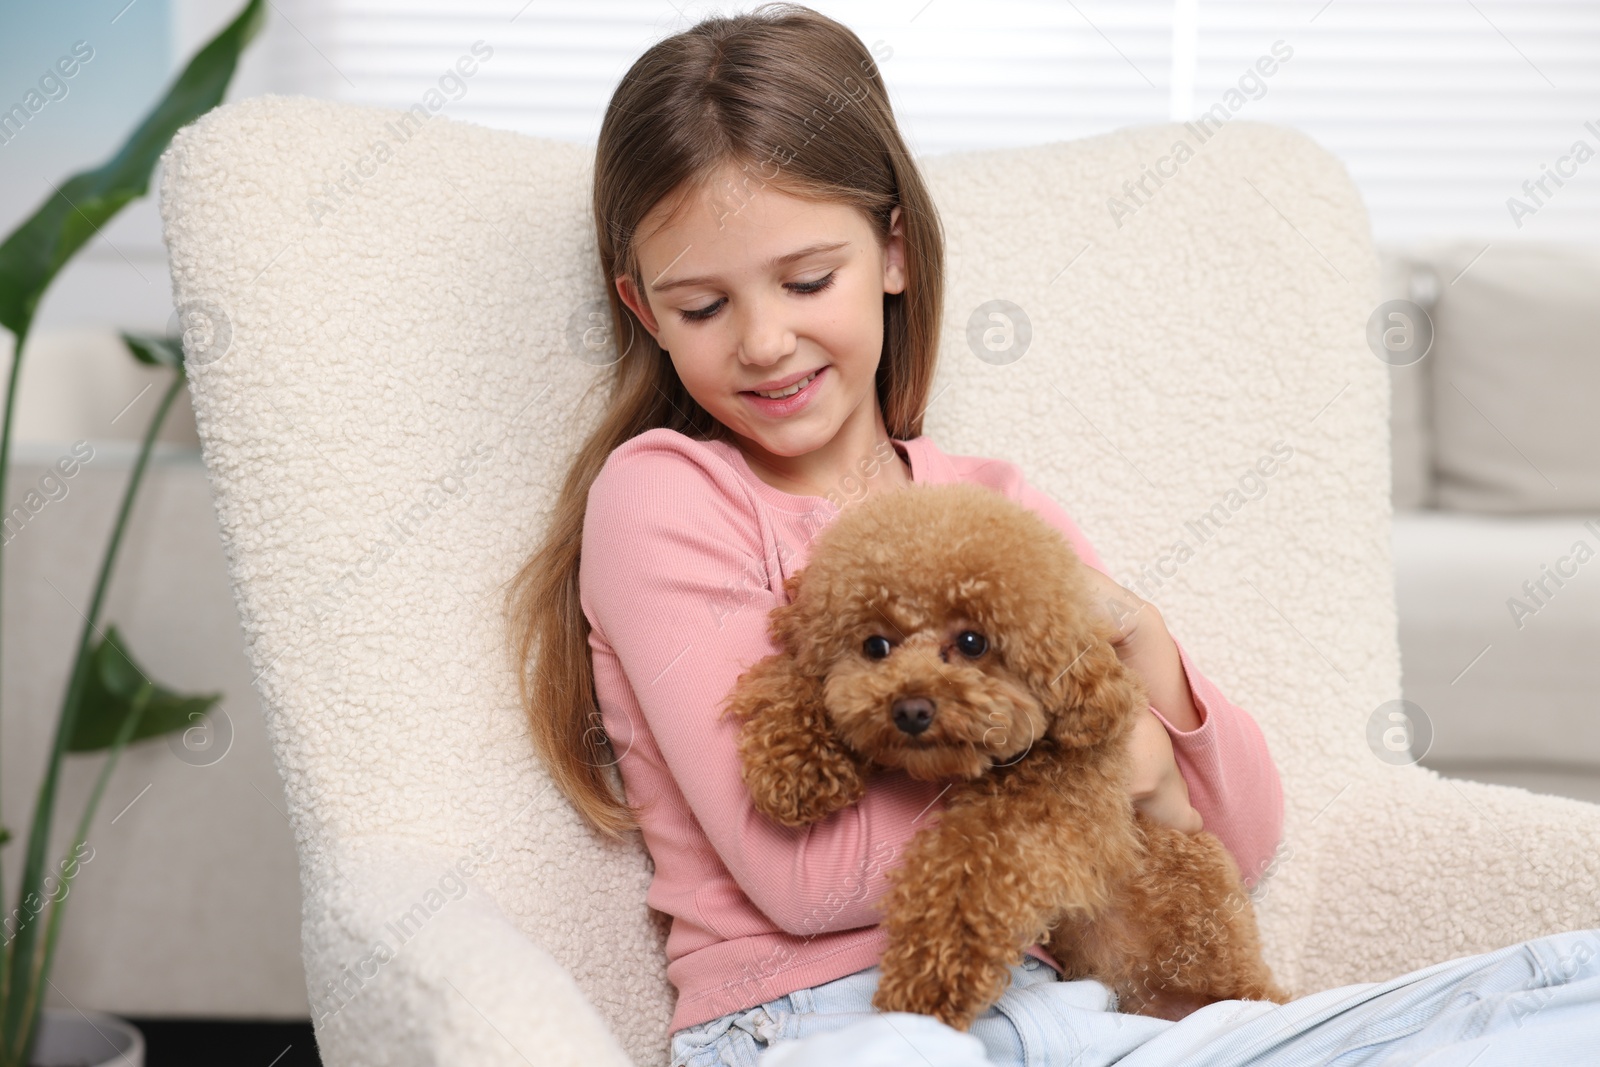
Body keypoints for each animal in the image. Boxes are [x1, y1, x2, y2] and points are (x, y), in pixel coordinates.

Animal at [726, 483, 1286, 1036]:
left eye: (973, 642)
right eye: (875, 645)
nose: (910, 710)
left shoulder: (1052, 817)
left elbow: (968, 873)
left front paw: (925, 985)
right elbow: (795, 677)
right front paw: (793, 764)